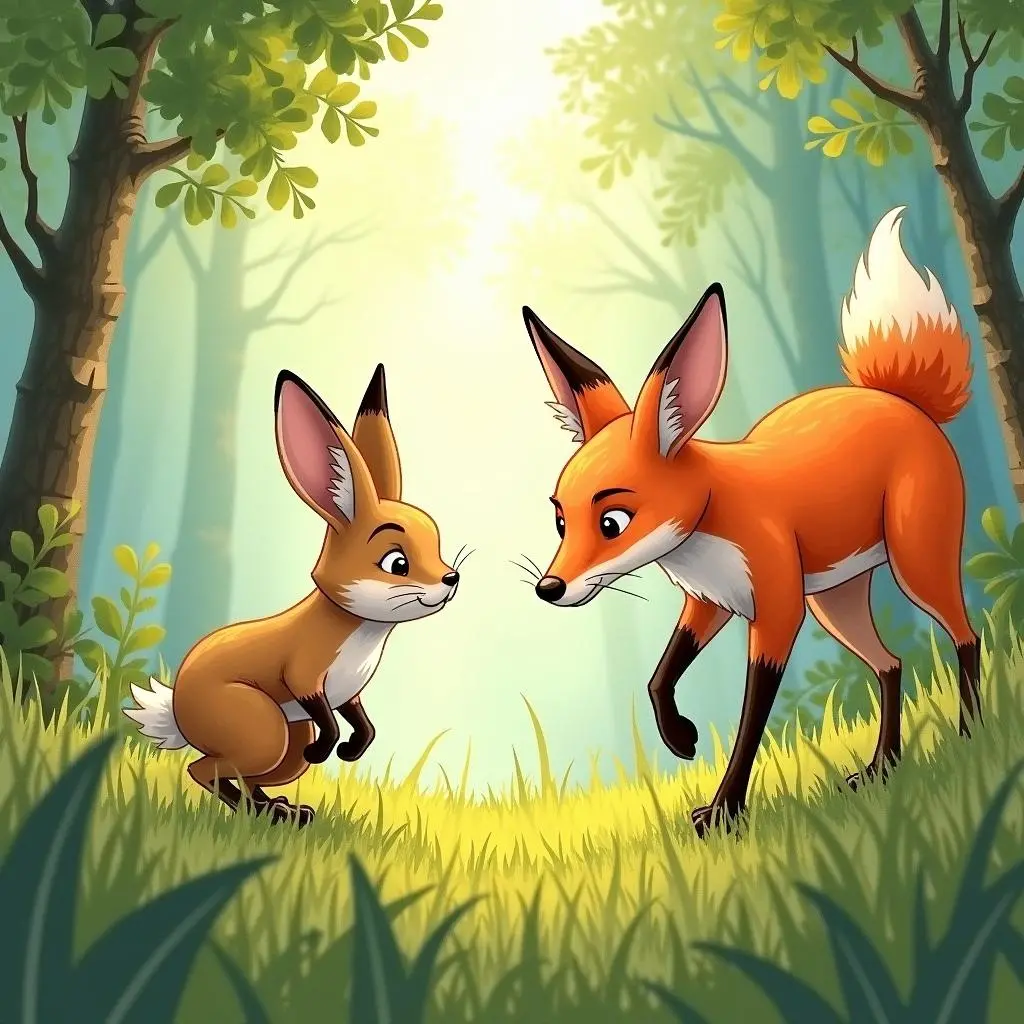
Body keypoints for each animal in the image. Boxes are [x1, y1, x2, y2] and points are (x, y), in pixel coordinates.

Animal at [125, 365, 463, 826]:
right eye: (397, 563)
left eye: (438, 543)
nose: (451, 578)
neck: (359, 633)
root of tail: (175, 710)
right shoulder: (305, 678)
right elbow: (331, 721)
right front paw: (330, 749)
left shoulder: (348, 692)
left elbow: (365, 726)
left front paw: (350, 751)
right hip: (265, 730)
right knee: (203, 770)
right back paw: (259, 813)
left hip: (287, 743)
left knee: (240, 774)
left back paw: (280, 811)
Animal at [521, 206, 981, 837]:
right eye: (561, 521)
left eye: (613, 521)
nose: (549, 588)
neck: (711, 517)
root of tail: (900, 399)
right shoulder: (709, 601)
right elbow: (660, 677)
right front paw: (681, 738)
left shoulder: (778, 612)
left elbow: (751, 719)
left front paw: (722, 812)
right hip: (835, 599)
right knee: (891, 664)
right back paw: (881, 767)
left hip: (915, 566)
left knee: (967, 639)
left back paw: (971, 734)